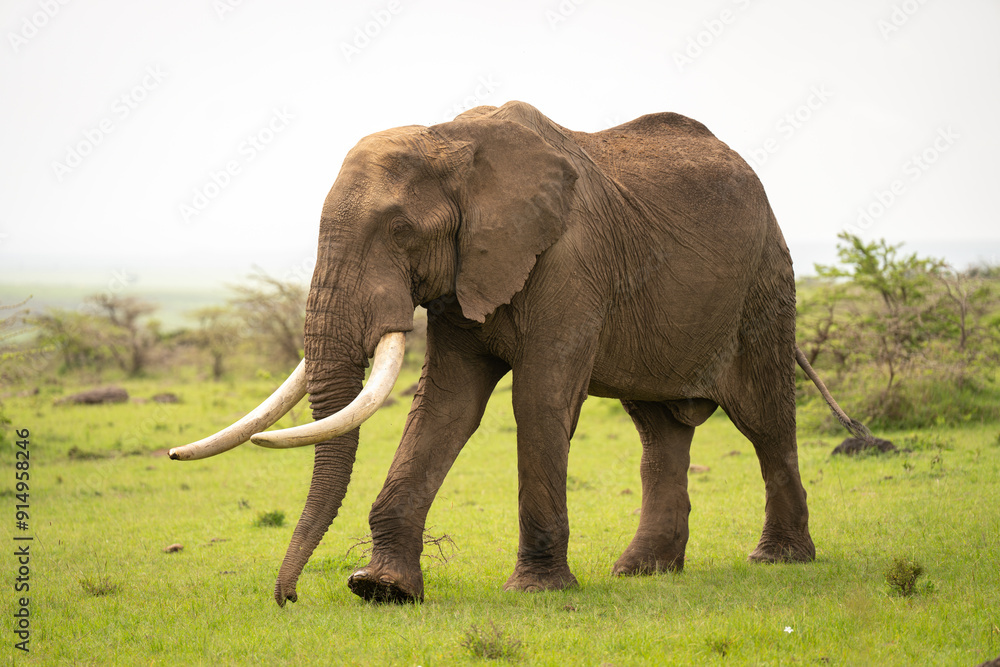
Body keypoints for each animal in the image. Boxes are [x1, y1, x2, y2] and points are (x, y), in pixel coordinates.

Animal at [170, 100, 870, 606]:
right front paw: (381, 590)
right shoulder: (464, 274)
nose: (286, 597)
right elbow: (446, 405)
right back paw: (642, 573)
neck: (451, 140)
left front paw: (536, 592)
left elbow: (540, 399)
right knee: (658, 430)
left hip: (765, 285)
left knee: (765, 419)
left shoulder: (569, 262)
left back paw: (778, 559)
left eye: (400, 231)